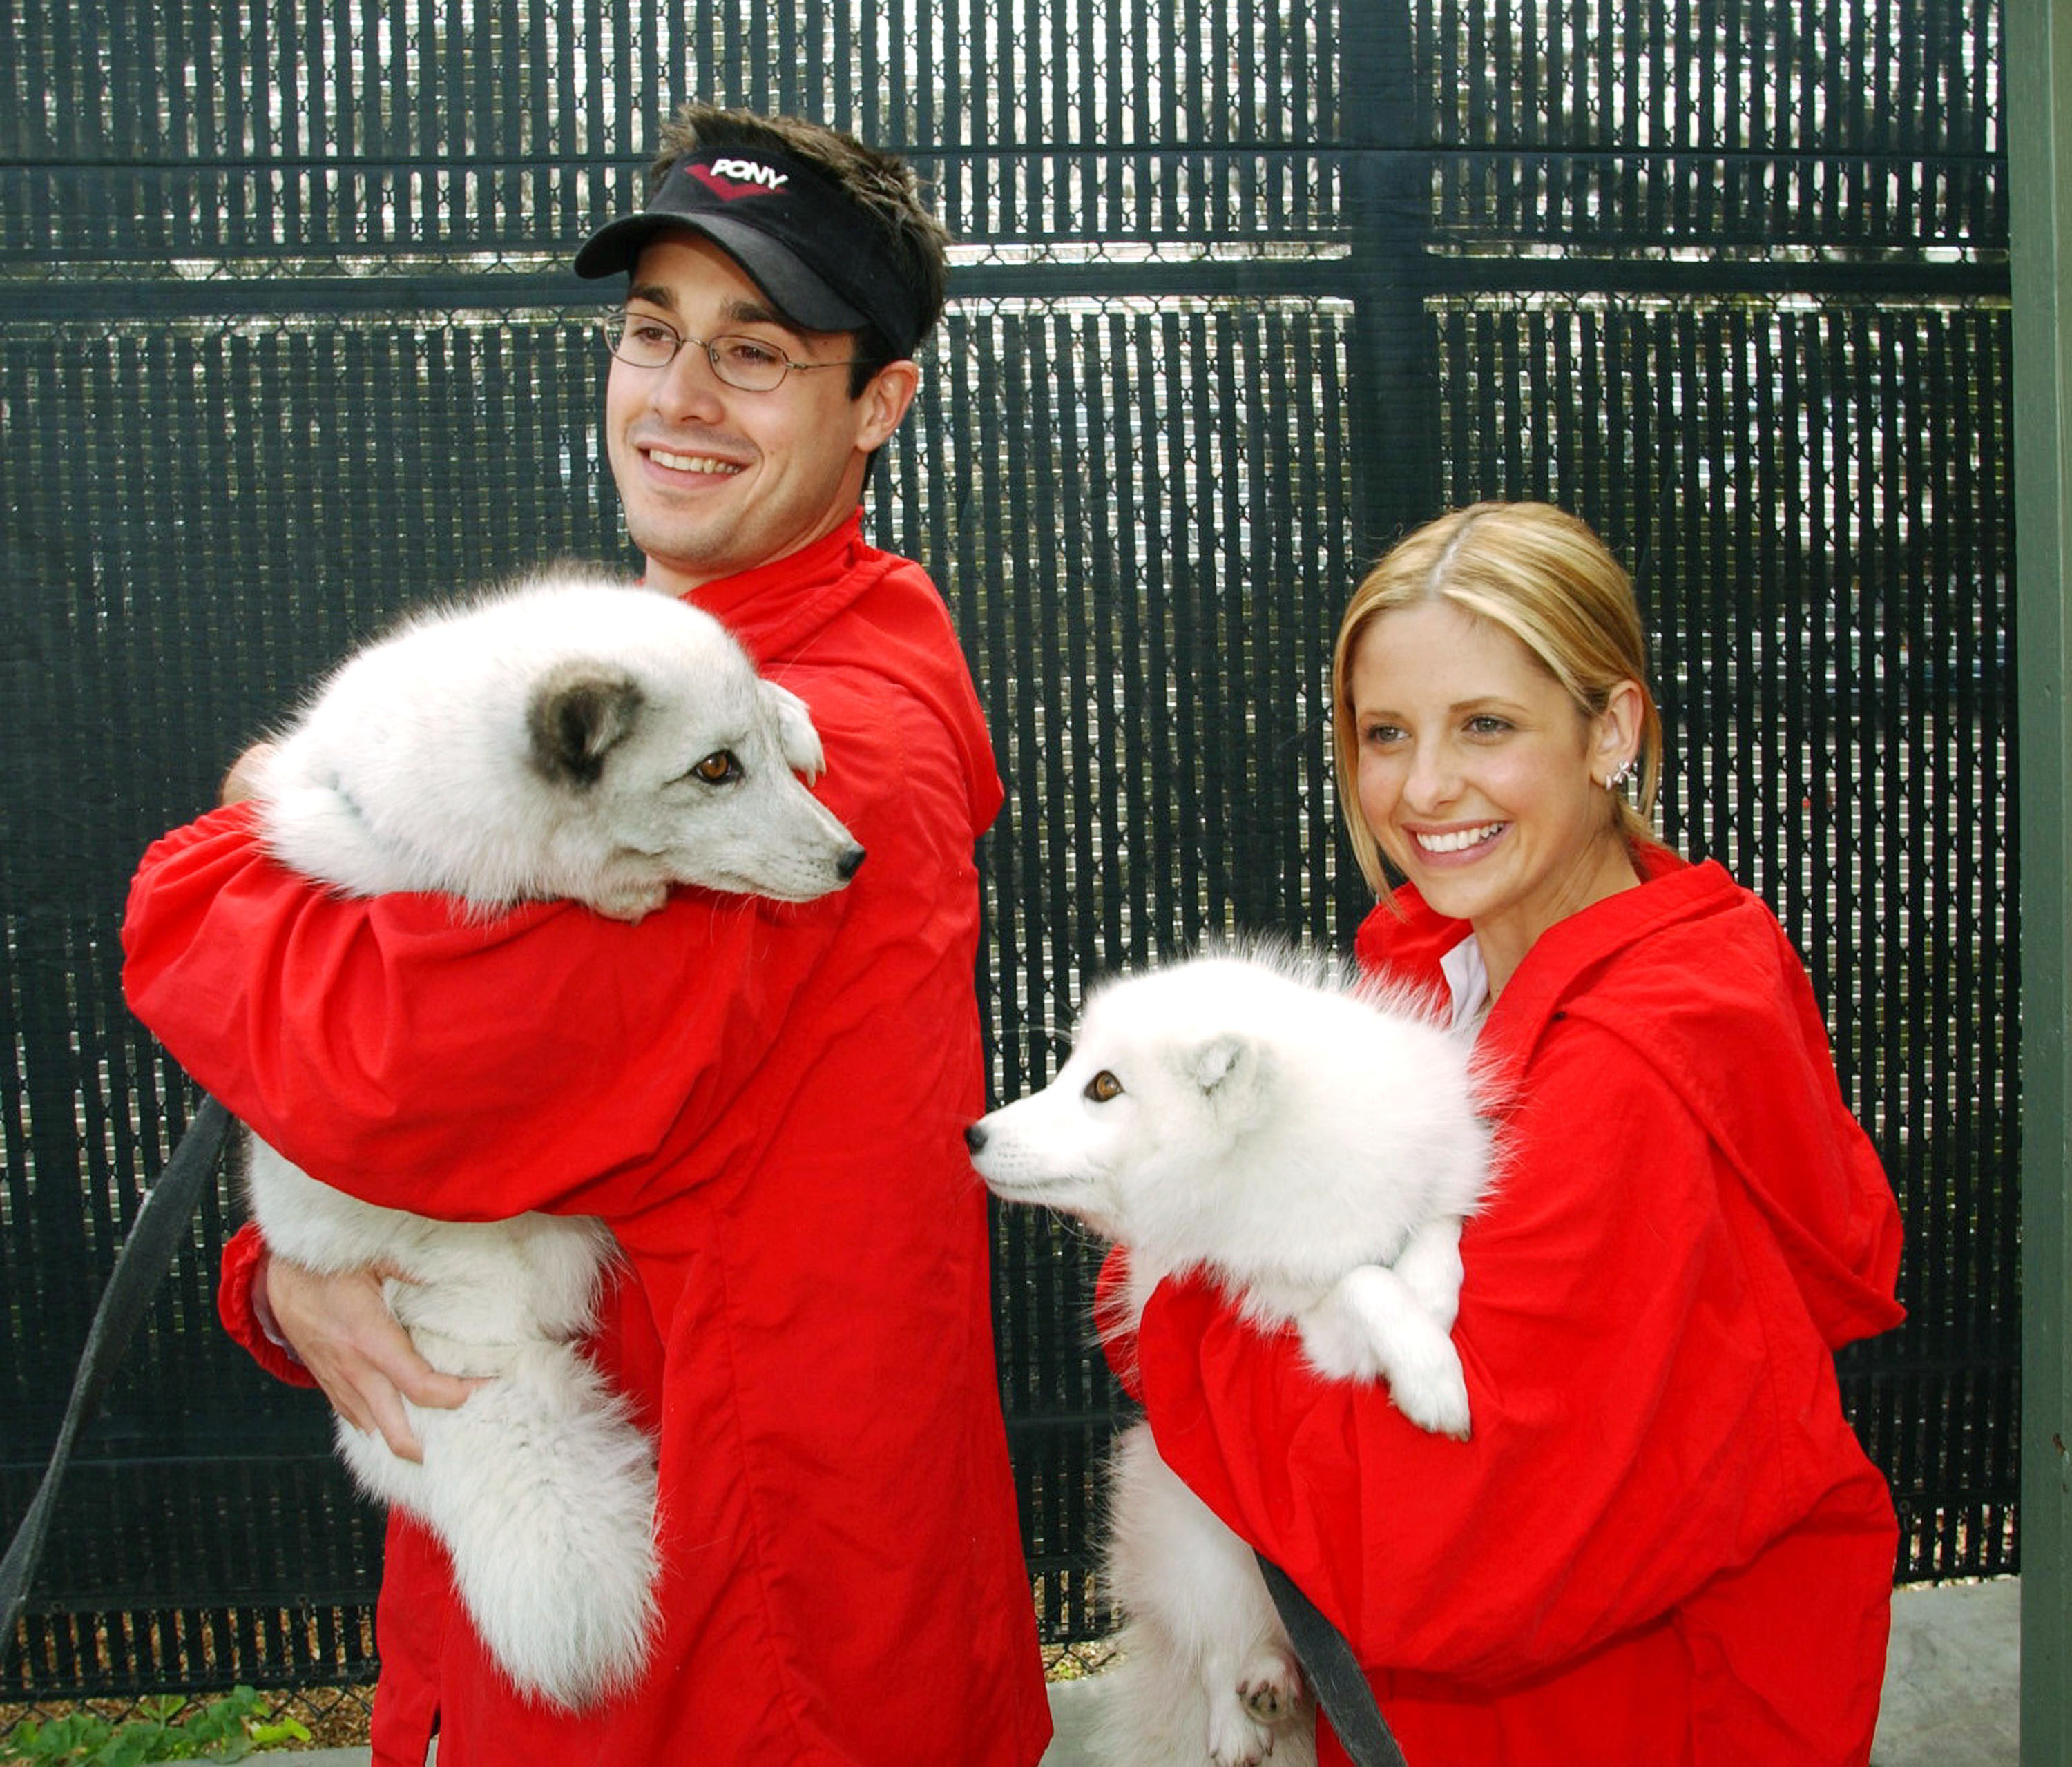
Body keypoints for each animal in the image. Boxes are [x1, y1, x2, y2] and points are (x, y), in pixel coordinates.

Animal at [961, 953, 1500, 1765]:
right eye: (1078, 1071)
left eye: (1104, 1086)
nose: (974, 1133)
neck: (1282, 1163)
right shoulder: (1295, 1320)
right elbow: (1364, 1282)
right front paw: (1430, 1376)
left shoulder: (1431, 1190)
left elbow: (1434, 1235)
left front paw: (1433, 1315)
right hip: (1186, 1522)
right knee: (1217, 1644)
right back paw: (1243, 1714)